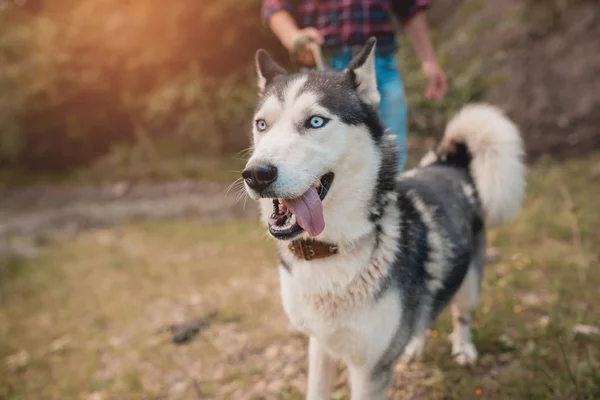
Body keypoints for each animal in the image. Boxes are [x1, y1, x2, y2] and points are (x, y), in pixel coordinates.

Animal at [241, 38, 524, 400]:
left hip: (469, 282)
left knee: (460, 313)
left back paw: (463, 348)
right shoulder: (320, 346)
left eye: (315, 122)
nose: (256, 174)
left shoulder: (368, 369)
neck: (328, 252)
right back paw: (413, 345)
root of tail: (447, 163)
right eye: (262, 125)